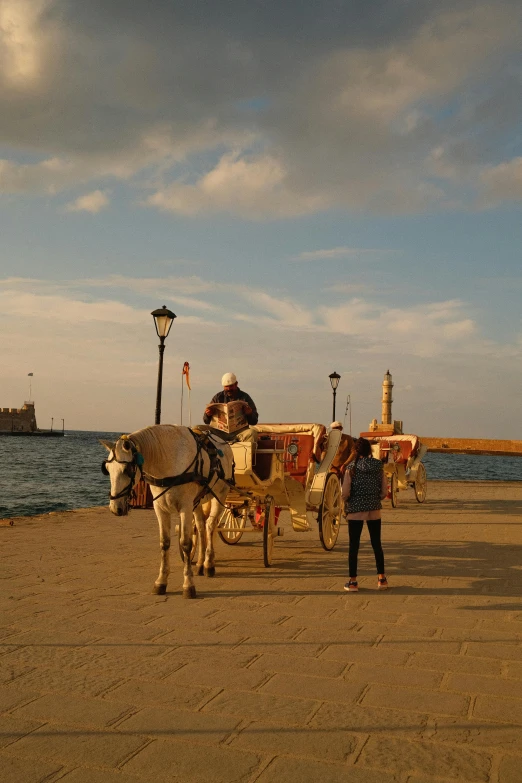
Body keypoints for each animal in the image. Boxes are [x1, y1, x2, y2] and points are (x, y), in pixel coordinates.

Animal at [99, 426, 232, 596]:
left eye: (127, 469)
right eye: (107, 469)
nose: (115, 508)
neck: (167, 462)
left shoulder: (185, 507)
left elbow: (186, 543)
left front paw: (188, 585)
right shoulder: (160, 508)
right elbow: (165, 543)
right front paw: (161, 581)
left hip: (220, 495)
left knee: (210, 526)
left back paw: (209, 564)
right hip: (198, 501)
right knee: (201, 527)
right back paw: (201, 563)